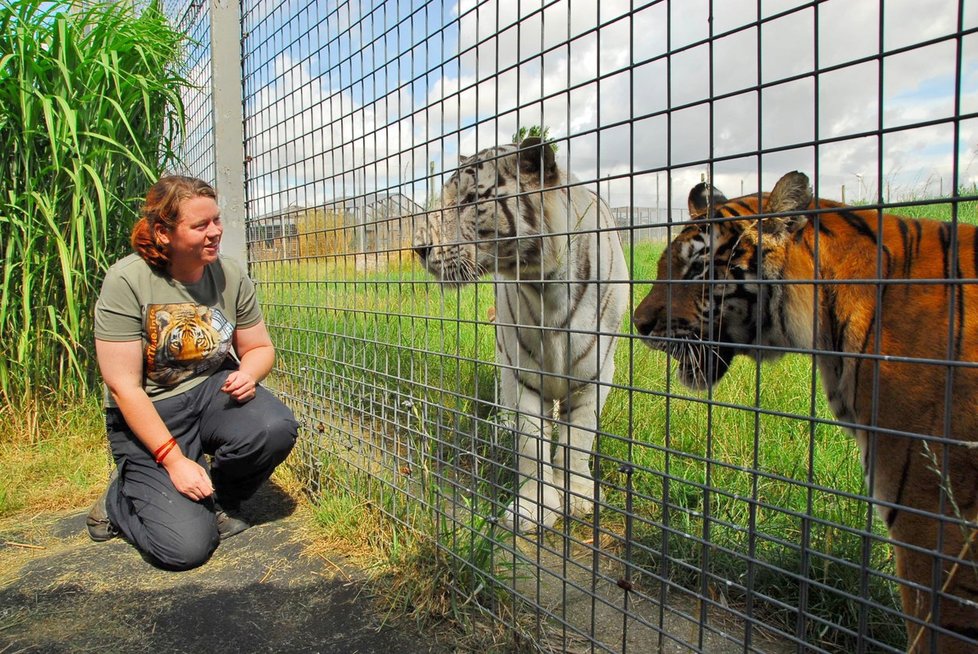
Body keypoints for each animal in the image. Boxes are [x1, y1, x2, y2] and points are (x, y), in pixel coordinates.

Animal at [410, 138, 624, 532]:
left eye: (471, 200)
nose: (418, 248)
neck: (546, 286)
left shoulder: (595, 375)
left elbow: (579, 439)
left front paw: (579, 498)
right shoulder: (523, 371)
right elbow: (530, 446)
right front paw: (532, 508)